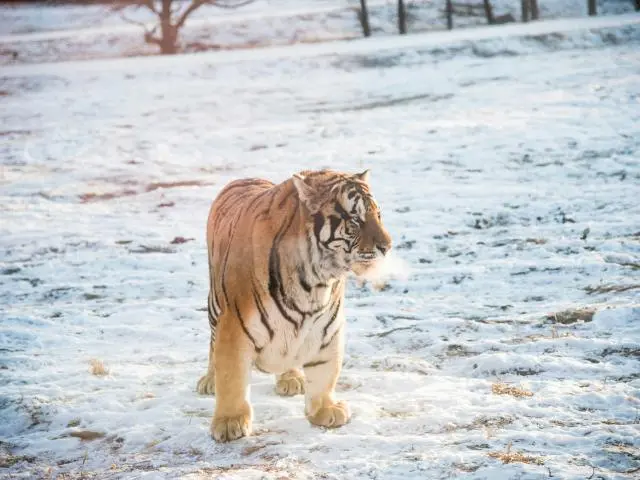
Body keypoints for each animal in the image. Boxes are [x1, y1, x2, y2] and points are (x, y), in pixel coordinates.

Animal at [196, 169, 392, 442]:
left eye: (378, 215)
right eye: (355, 220)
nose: (387, 246)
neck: (314, 283)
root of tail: (246, 177)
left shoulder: (327, 328)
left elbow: (325, 372)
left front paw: (326, 410)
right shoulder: (234, 327)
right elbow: (232, 376)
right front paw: (229, 423)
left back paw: (291, 378)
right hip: (216, 306)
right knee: (213, 344)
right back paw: (210, 381)